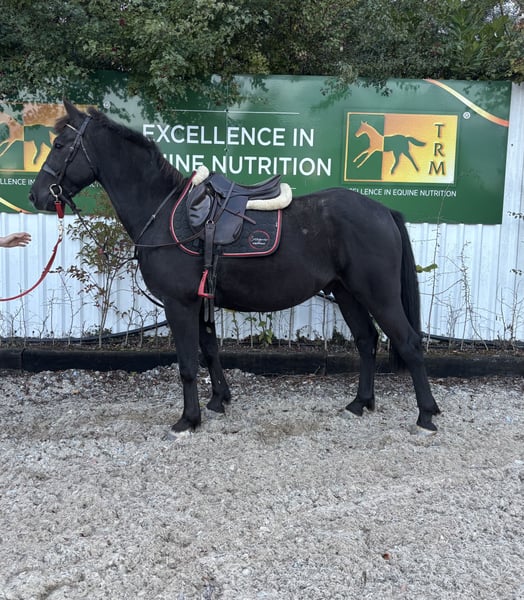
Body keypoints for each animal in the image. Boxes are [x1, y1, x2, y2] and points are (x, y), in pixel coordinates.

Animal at [29, 100, 441, 436]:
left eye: (60, 145)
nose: (36, 195)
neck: (165, 213)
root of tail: (383, 210)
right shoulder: (198, 302)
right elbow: (210, 350)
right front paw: (218, 401)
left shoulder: (179, 304)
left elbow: (187, 363)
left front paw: (188, 419)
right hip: (346, 292)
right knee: (366, 341)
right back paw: (359, 403)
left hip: (377, 294)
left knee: (408, 342)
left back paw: (426, 415)